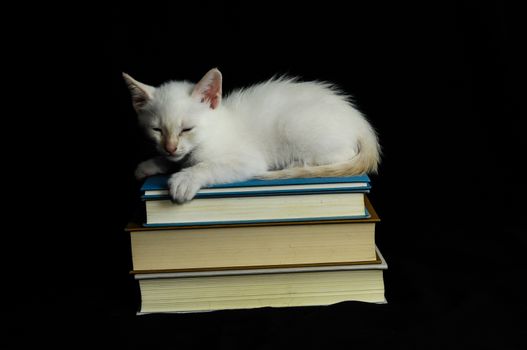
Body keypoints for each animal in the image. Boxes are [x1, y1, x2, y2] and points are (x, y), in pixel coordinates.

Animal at [124, 68, 380, 202]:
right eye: (157, 130)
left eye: (187, 129)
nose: (170, 147)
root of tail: (360, 121)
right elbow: (173, 161)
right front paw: (150, 165)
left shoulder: (247, 159)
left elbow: (208, 165)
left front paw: (185, 179)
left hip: (295, 125)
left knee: (344, 153)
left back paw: (296, 164)